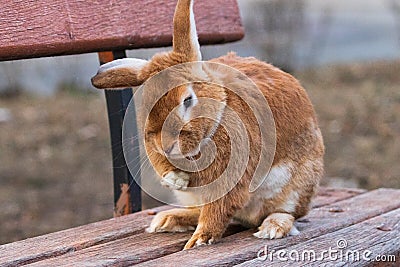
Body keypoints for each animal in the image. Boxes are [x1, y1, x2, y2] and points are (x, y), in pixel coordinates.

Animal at [91, 0, 324, 251]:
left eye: (187, 100)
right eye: (145, 103)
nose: (166, 145)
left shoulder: (233, 176)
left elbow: (218, 209)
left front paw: (200, 240)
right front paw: (175, 179)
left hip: (296, 188)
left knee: (287, 213)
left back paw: (272, 228)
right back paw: (168, 219)